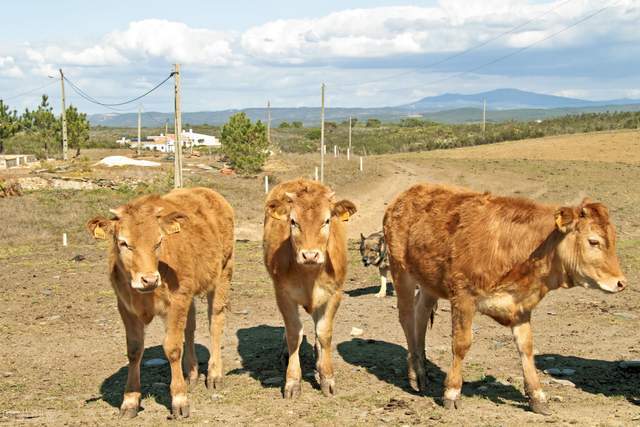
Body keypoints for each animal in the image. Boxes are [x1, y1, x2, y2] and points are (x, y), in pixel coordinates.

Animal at [86, 189, 234, 420]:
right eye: (123, 243)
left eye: (158, 242)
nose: (149, 279)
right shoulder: (126, 307)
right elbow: (134, 350)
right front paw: (130, 401)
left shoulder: (176, 302)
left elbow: (172, 348)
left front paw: (179, 400)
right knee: (189, 327)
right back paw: (191, 374)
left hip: (224, 271)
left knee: (215, 322)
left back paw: (214, 374)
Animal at [262, 179, 358, 400]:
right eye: (293, 222)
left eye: (327, 221)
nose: (310, 255)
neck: (309, 275)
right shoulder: (283, 295)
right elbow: (293, 334)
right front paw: (292, 382)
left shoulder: (334, 293)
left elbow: (324, 332)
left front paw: (326, 377)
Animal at [382, 183, 628, 414]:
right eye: (593, 241)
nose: (620, 282)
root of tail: (407, 195)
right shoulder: (463, 297)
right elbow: (461, 344)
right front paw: (452, 392)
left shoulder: (520, 307)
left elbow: (526, 348)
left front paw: (537, 396)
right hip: (401, 271)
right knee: (407, 317)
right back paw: (415, 373)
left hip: (429, 282)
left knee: (421, 315)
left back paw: (421, 370)